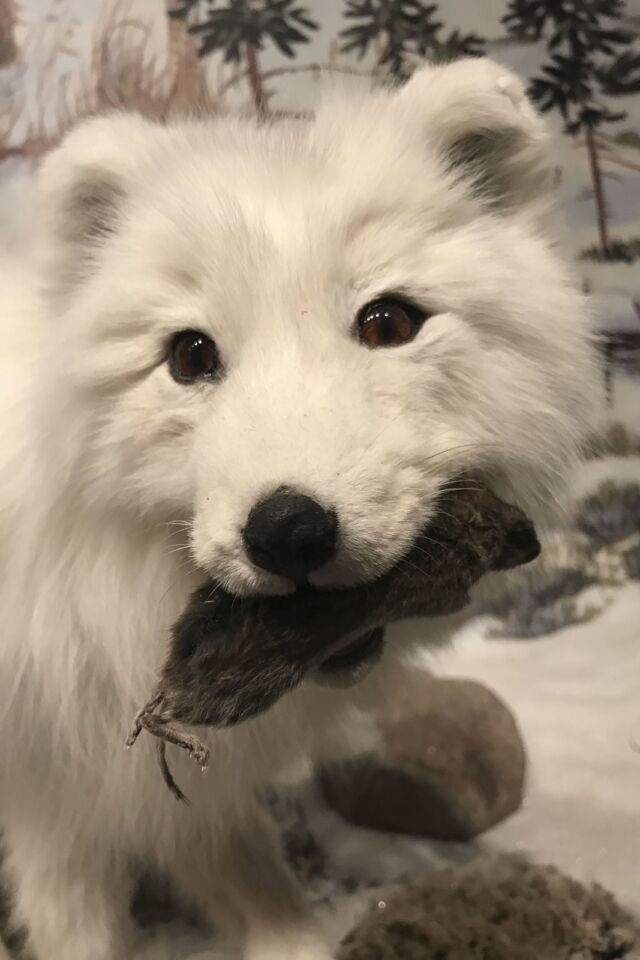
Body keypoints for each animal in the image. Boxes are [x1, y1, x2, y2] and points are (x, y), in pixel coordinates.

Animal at [0, 60, 600, 960]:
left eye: (389, 322)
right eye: (190, 356)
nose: (287, 532)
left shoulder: (162, 794)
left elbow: (253, 878)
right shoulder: (49, 808)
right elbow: (80, 931)